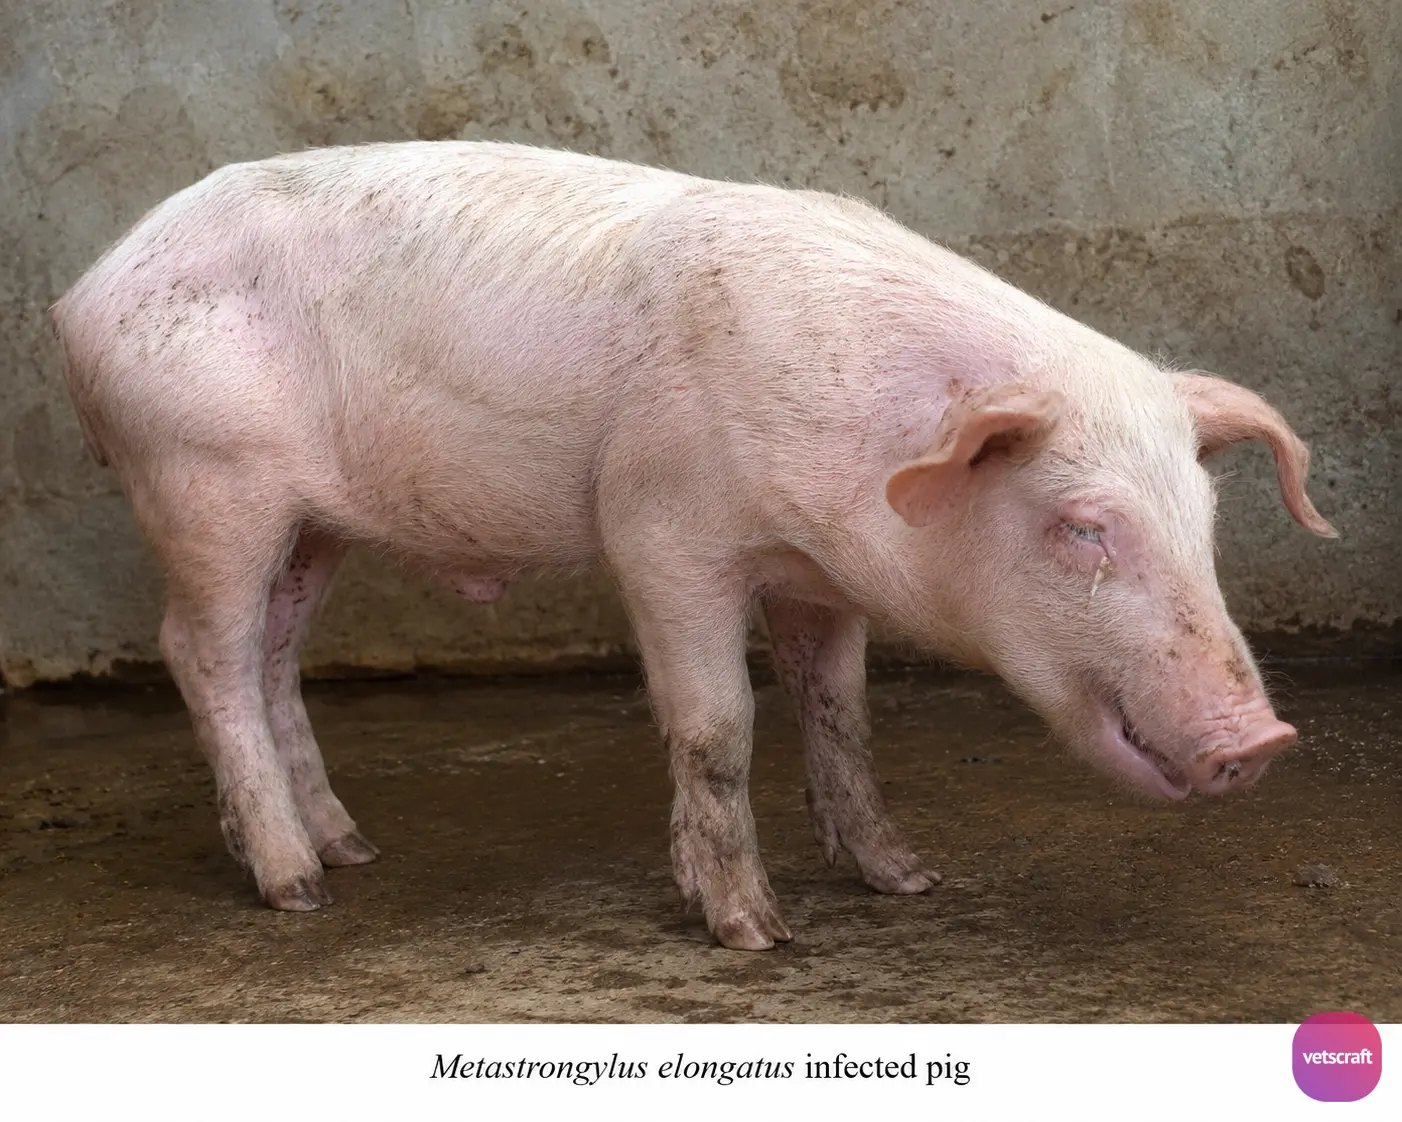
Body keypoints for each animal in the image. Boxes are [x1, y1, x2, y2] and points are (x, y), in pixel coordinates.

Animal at [52, 141, 1335, 950]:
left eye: (1204, 523)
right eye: (1081, 528)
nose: (1262, 737)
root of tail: (80, 294)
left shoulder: (825, 577)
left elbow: (841, 716)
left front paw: (906, 880)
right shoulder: (661, 534)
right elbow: (718, 726)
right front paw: (754, 934)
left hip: (310, 523)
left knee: (273, 657)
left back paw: (353, 848)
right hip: (204, 479)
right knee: (204, 653)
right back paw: (298, 890)